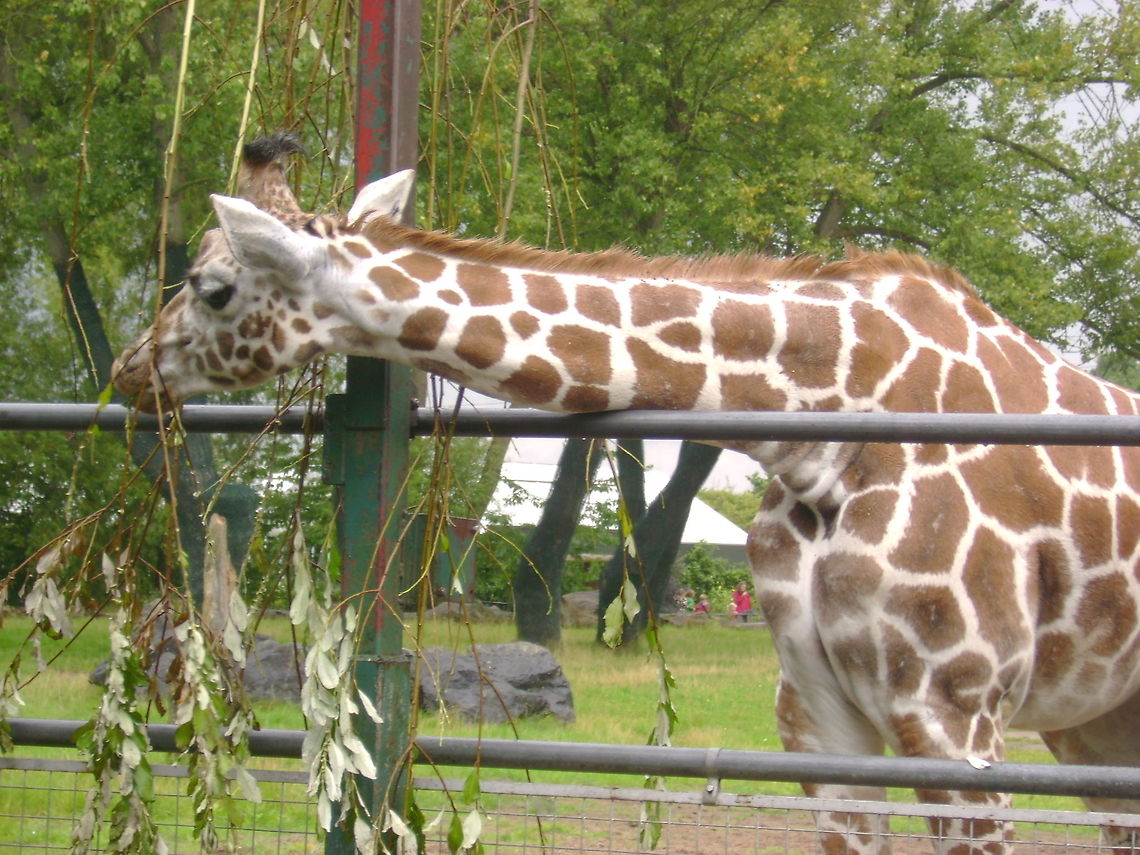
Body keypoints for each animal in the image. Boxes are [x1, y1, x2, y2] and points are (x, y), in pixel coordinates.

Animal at [112, 145, 1140, 855]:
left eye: (211, 286)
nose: (129, 369)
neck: (824, 431)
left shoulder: (958, 721)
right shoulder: (819, 718)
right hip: (1094, 720)